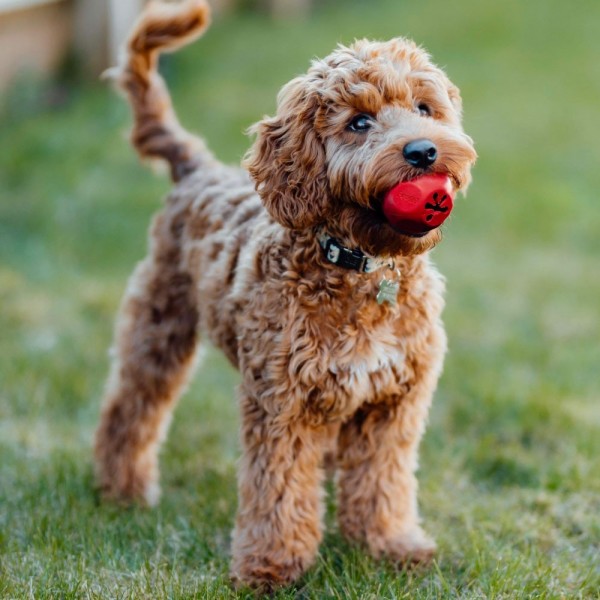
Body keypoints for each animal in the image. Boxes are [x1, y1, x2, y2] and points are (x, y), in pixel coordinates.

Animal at [95, 0, 478, 592]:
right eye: (359, 122)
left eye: (424, 106)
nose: (423, 151)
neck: (362, 268)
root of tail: (196, 167)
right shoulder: (282, 404)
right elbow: (278, 489)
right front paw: (270, 566)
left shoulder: (393, 405)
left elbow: (383, 482)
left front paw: (390, 545)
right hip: (158, 322)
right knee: (132, 404)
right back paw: (121, 490)